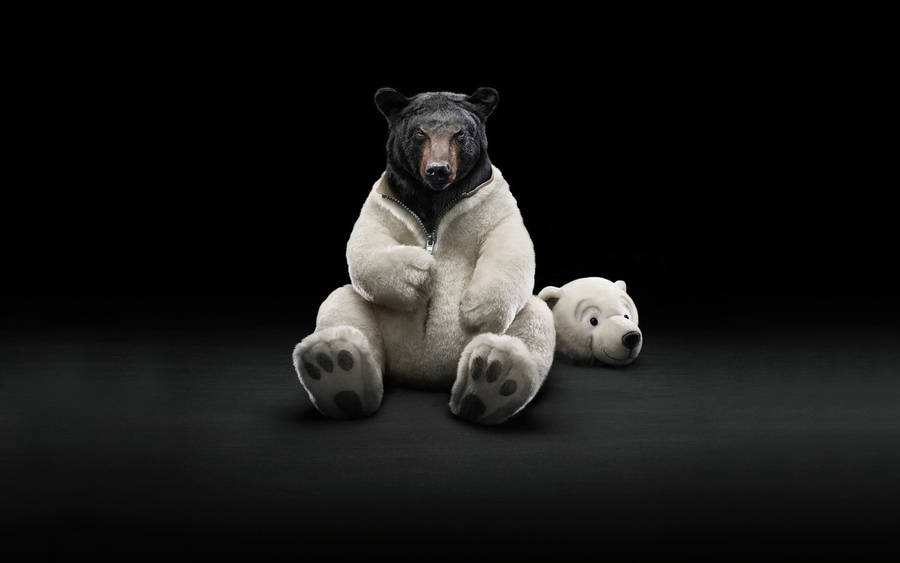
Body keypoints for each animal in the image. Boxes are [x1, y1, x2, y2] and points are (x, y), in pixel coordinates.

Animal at [292, 87, 556, 425]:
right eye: (420, 133)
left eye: (460, 134)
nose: (438, 170)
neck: (434, 199)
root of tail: (425, 374)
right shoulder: (383, 203)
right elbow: (366, 244)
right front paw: (420, 272)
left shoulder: (493, 202)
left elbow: (509, 242)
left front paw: (476, 309)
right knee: (343, 305)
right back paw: (336, 368)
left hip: (520, 321)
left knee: (533, 320)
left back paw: (492, 379)